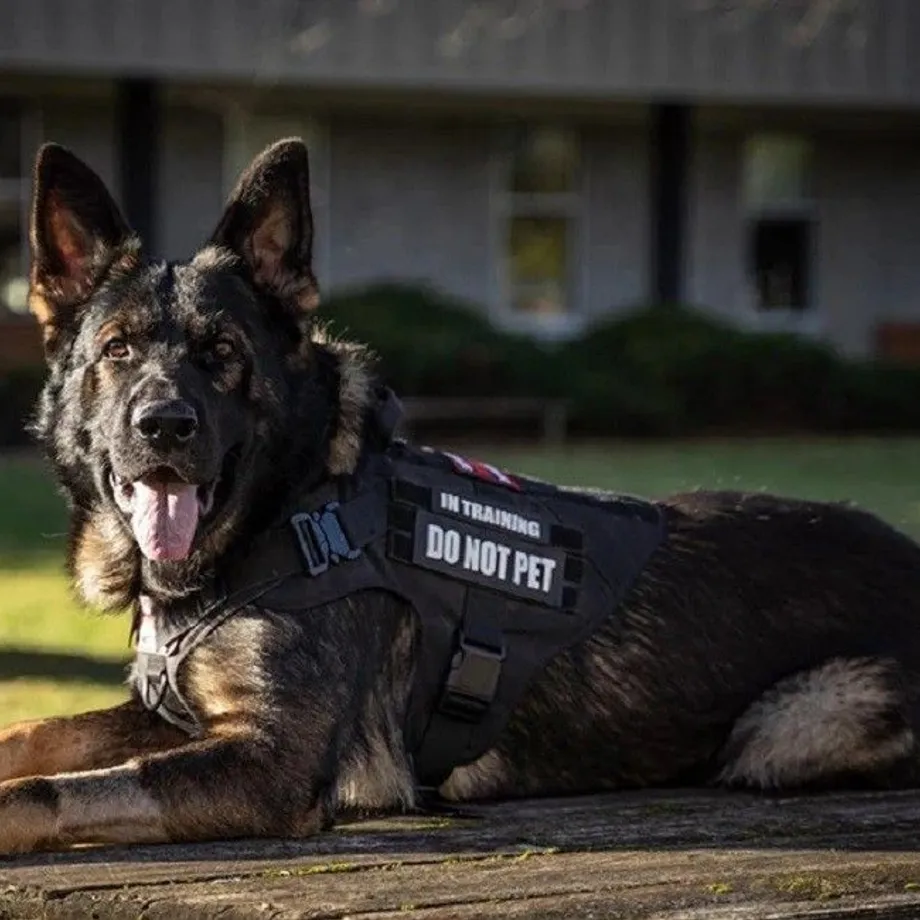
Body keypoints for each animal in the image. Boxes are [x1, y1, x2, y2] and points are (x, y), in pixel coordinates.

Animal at [1, 138, 920, 856]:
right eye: (117, 350)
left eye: (223, 352)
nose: (164, 426)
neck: (289, 509)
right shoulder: (180, 717)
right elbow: (39, 733)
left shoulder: (267, 762)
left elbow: (73, 785)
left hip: (794, 724)